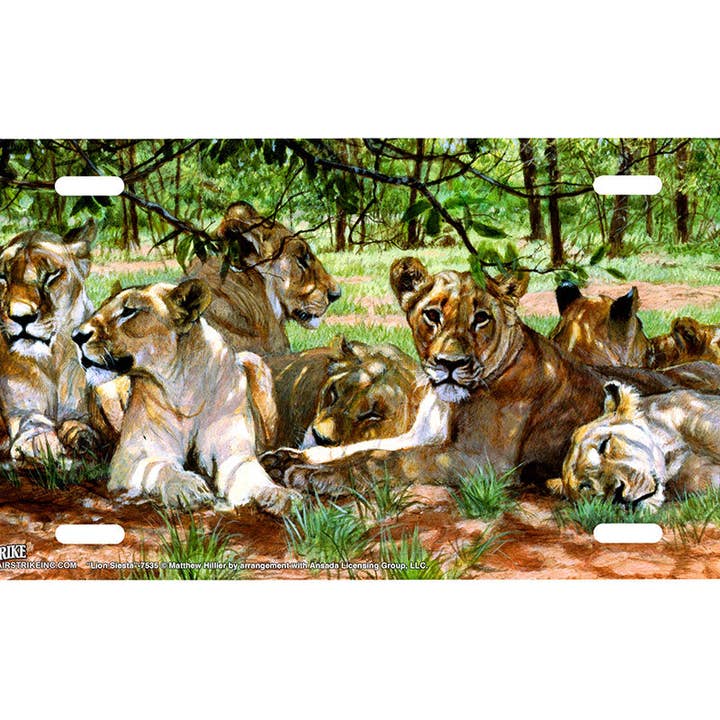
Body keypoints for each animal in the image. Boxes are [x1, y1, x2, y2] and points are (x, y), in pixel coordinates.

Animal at [0, 219, 105, 464]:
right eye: (2, 277)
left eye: (51, 276)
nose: (21, 317)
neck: (52, 362)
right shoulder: (19, 411)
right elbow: (32, 421)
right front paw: (40, 443)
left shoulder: (82, 409)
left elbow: (80, 421)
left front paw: (81, 435)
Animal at [72, 278, 299, 514]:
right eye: (101, 307)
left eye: (129, 311)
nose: (76, 336)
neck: (183, 387)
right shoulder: (132, 456)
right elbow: (160, 467)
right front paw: (186, 486)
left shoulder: (234, 452)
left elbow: (253, 475)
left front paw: (281, 495)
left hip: (254, 360)